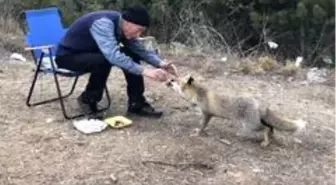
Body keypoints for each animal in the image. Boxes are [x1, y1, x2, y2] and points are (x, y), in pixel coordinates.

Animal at [165, 74, 308, 147]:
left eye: (173, 81)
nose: (166, 81)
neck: (197, 94)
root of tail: (258, 102)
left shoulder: (207, 114)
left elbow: (202, 126)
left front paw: (197, 133)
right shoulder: (205, 114)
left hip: (251, 126)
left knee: (267, 127)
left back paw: (266, 141)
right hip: (254, 124)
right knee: (271, 127)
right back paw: (271, 138)